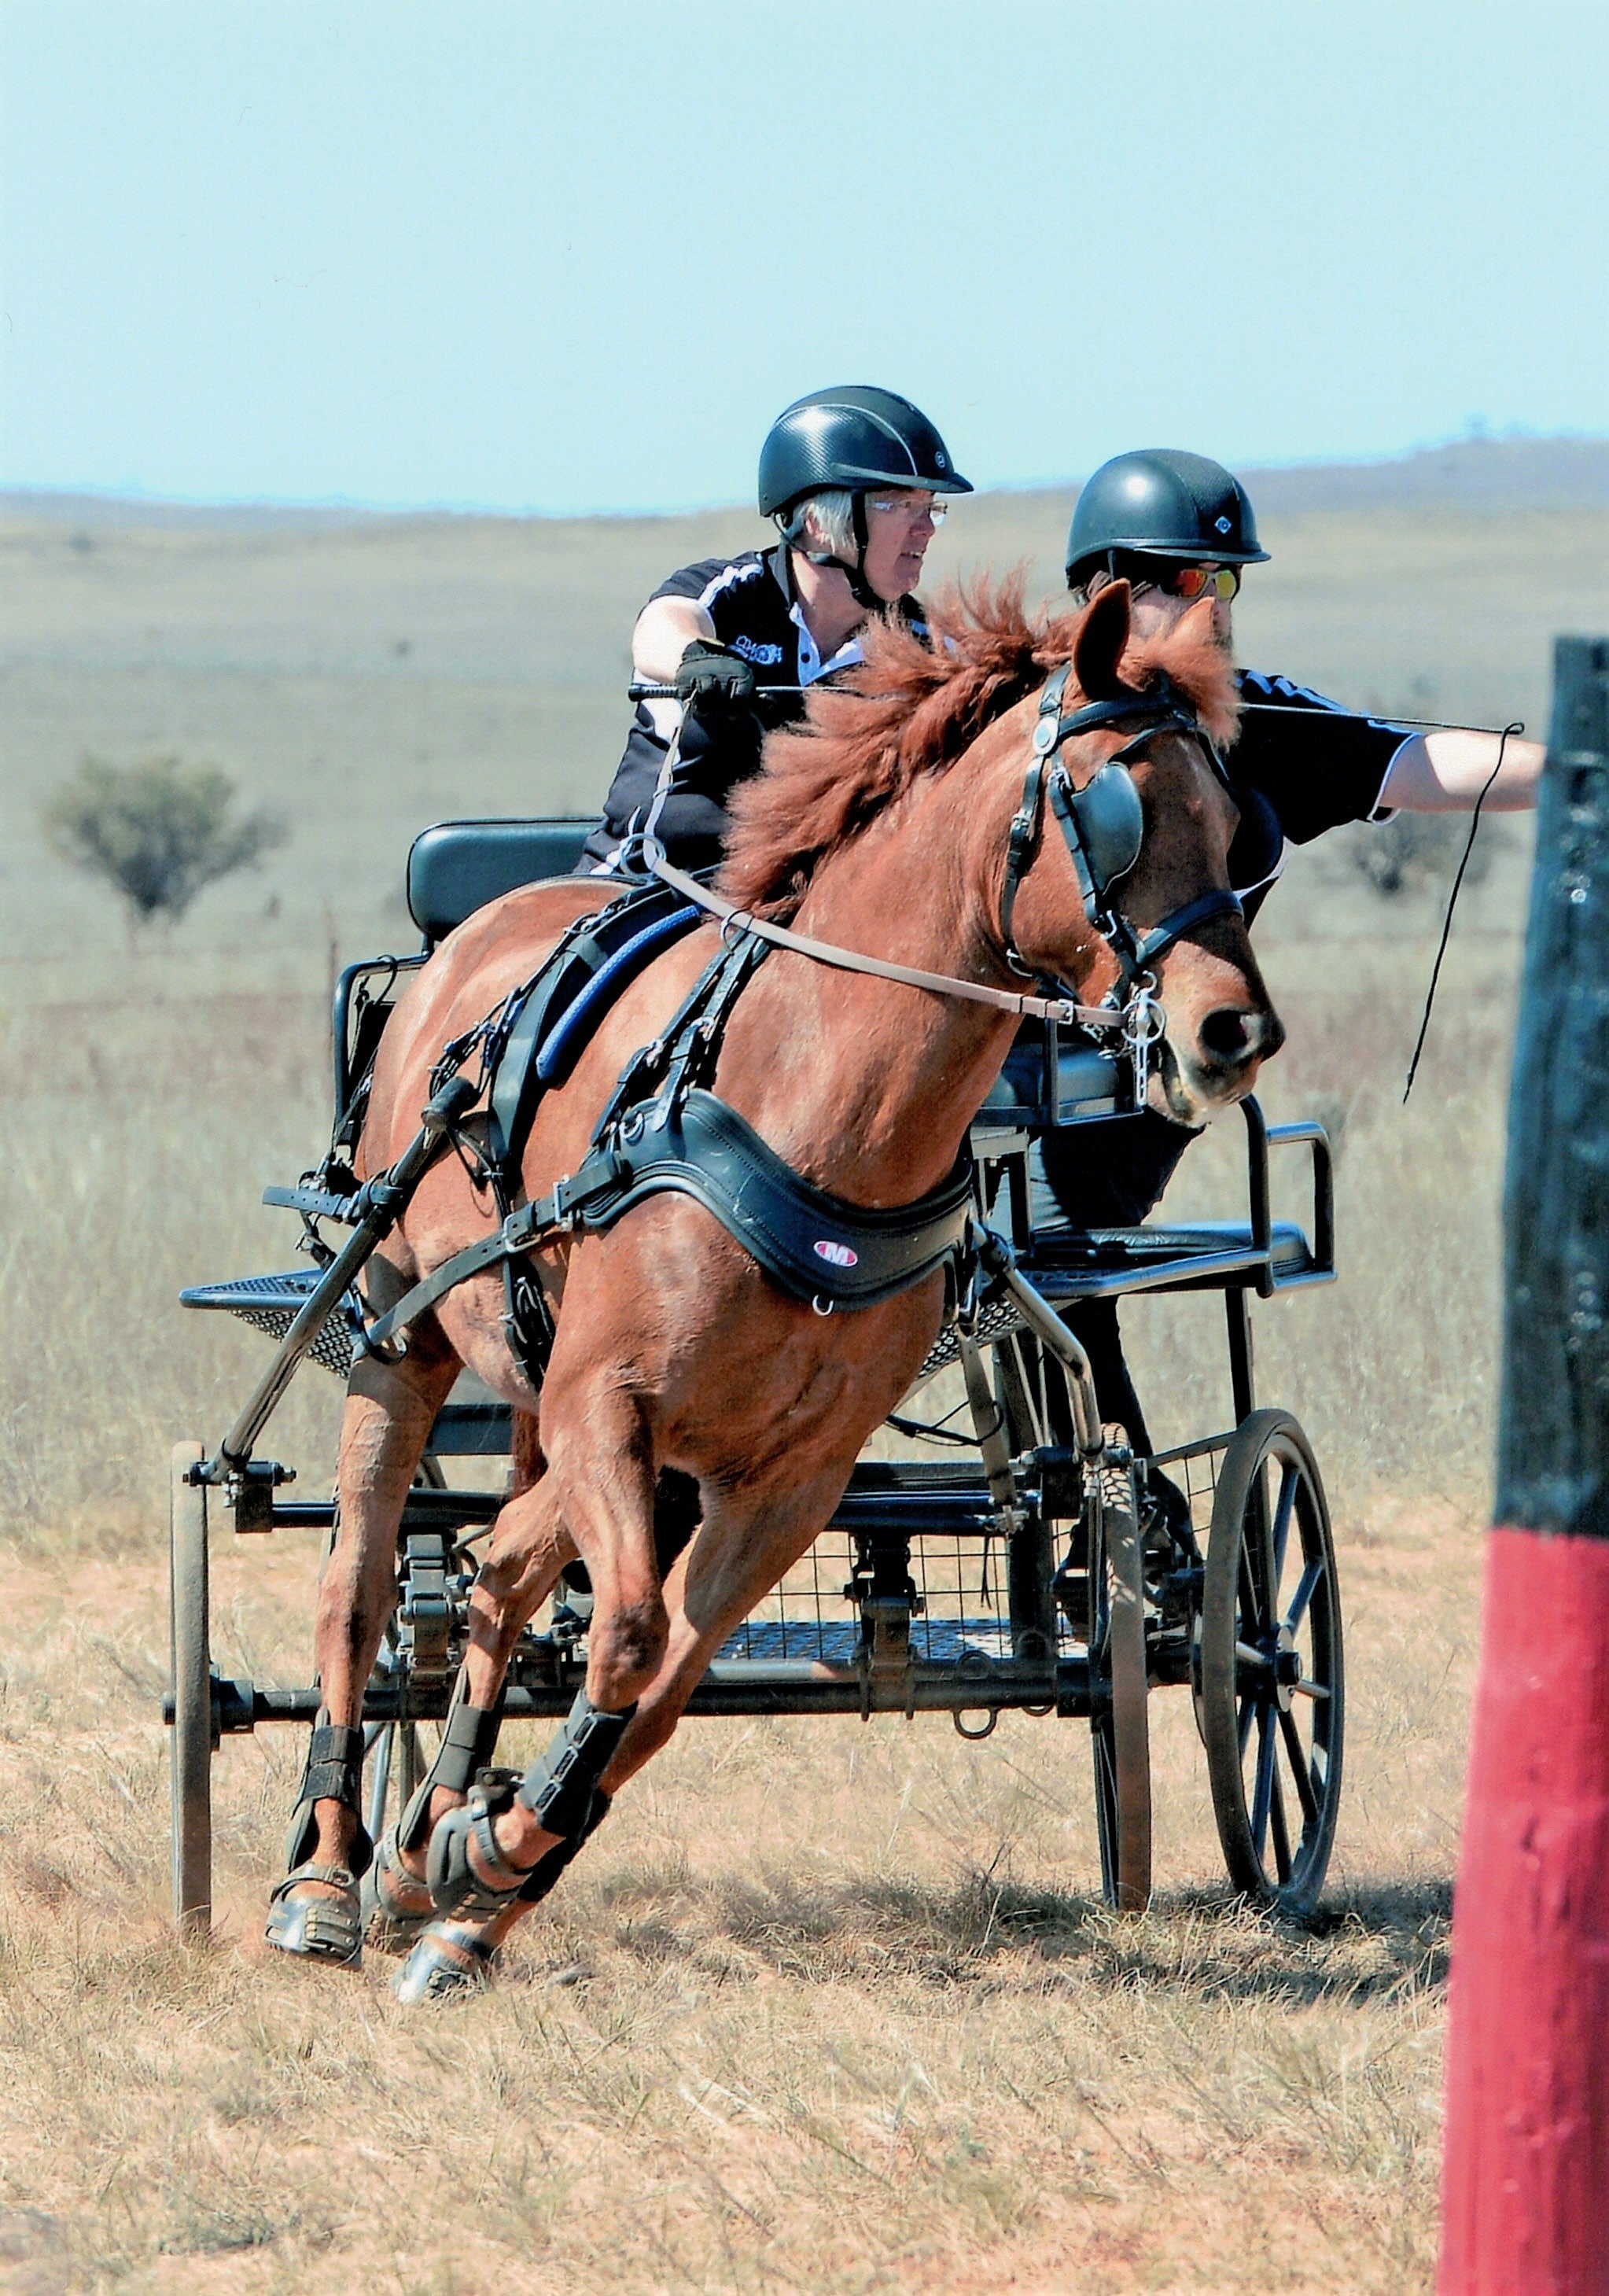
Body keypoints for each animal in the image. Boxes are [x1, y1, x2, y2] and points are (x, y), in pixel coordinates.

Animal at [273, 578, 1276, 1992]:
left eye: (1234, 821)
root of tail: (477, 933)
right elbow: (627, 1635)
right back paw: (320, 1868)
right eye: (1110, 803)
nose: (1231, 1030)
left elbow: (654, 1689)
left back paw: (425, 1840)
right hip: (408, 1336)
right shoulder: (610, 1405)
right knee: (362, 1578)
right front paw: (481, 1850)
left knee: (500, 1570)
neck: (809, 1114)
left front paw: (482, 1873)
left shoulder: (783, 1479)